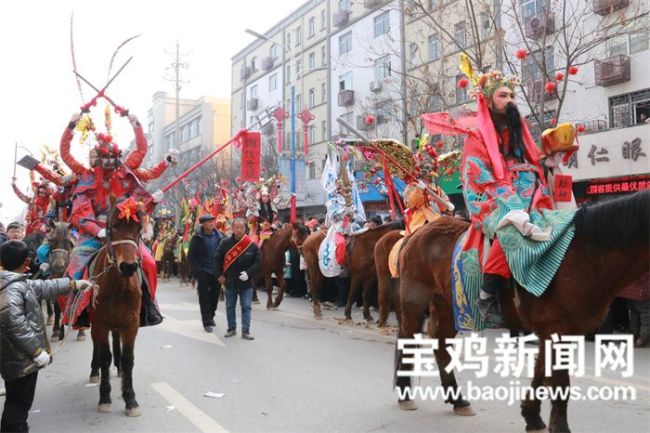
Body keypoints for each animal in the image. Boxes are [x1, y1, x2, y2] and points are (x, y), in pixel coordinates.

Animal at [87, 197, 144, 416]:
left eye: (138, 228)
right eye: (113, 226)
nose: (128, 266)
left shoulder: (131, 323)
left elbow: (129, 359)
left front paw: (130, 399)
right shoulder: (99, 323)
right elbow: (104, 357)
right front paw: (104, 397)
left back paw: (118, 368)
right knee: (98, 349)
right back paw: (94, 371)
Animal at [392, 192, 644, 432]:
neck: (581, 257)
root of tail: (415, 233)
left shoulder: (553, 331)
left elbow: (541, 371)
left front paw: (531, 415)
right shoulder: (557, 330)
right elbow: (559, 383)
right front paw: (558, 426)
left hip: (449, 305)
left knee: (441, 343)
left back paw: (458, 400)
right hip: (415, 300)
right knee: (408, 339)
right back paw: (405, 396)